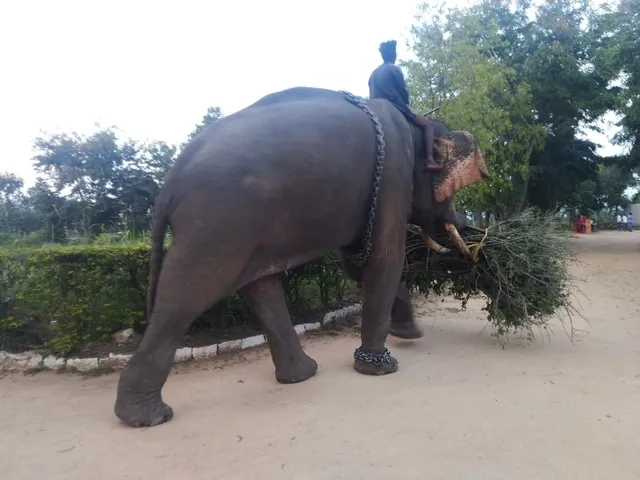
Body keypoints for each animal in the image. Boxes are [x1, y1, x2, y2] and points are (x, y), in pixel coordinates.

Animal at [114, 86, 489, 427]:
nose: (468, 231)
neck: (416, 125)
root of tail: (169, 181)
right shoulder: (392, 175)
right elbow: (383, 259)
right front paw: (383, 367)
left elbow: (357, 266)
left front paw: (408, 335)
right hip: (216, 222)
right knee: (186, 296)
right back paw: (148, 417)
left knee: (260, 286)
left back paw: (301, 375)